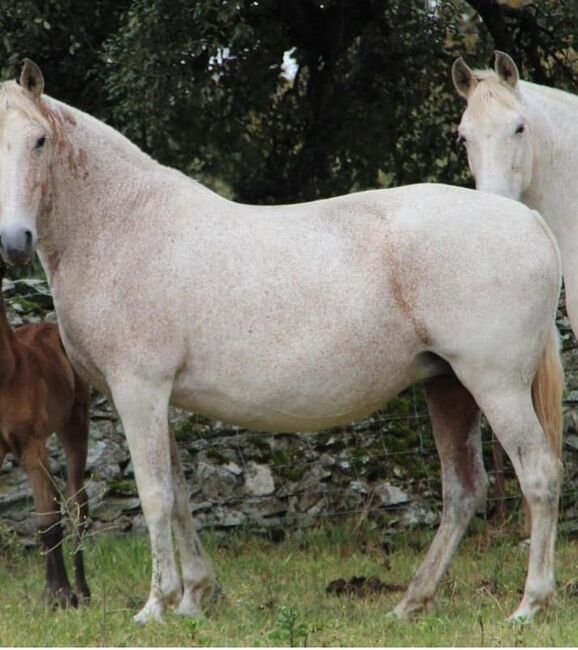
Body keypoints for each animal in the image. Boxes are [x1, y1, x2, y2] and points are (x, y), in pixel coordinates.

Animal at [0, 260, 90, 604]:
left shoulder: (31, 445)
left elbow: (46, 521)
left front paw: (59, 595)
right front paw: (55, 593)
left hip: (74, 422)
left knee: (76, 502)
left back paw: (82, 590)